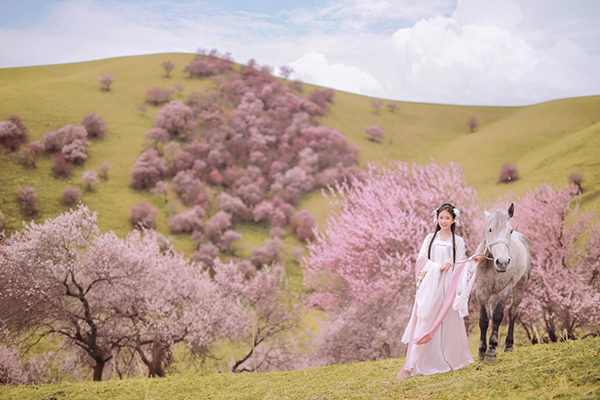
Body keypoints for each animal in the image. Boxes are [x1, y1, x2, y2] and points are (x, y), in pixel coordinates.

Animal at [476, 205, 532, 364]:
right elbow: (484, 320)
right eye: (489, 229)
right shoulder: (481, 291)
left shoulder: (505, 290)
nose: (502, 262)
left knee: (513, 312)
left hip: (519, 287)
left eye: (510, 231)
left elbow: (498, 316)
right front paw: (482, 350)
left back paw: (508, 345)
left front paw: (491, 350)